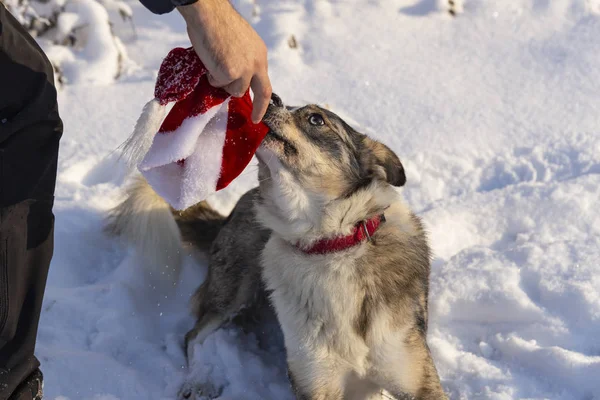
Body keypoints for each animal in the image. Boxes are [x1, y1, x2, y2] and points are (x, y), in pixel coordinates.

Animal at [106, 94, 446, 400]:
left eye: (316, 119)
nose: (270, 98)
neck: (330, 246)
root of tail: (230, 213)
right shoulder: (315, 379)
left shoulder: (417, 379)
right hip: (234, 289)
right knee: (193, 336)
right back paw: (199, 380)